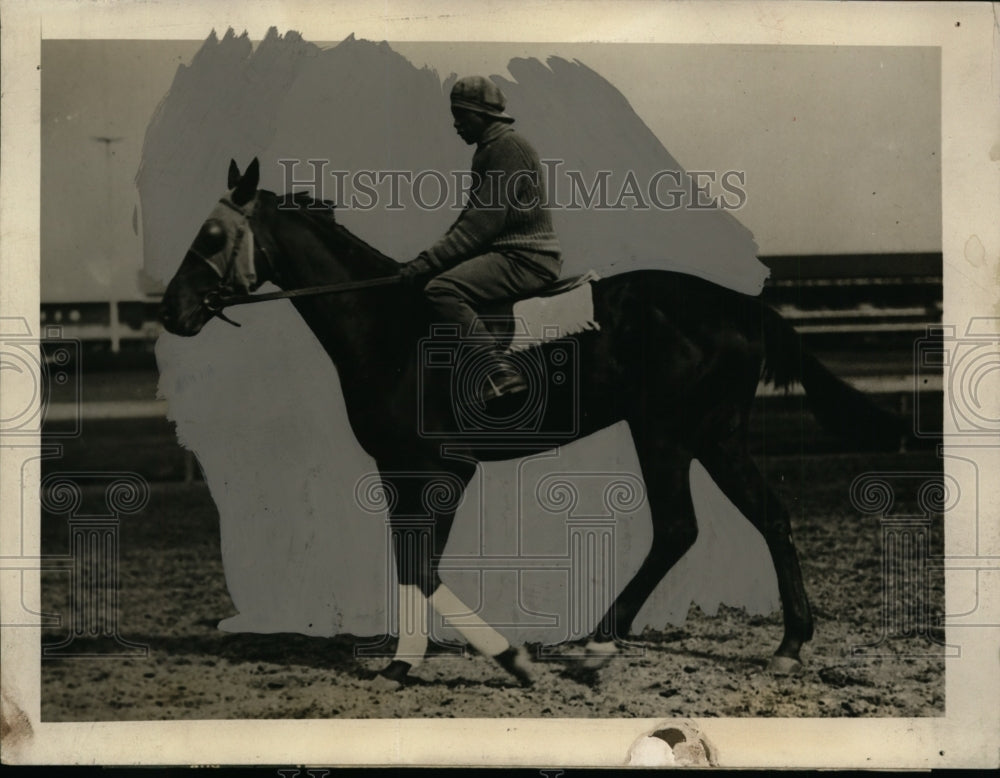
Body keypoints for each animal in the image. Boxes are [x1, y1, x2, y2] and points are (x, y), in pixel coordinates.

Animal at [160, 158, 904, 684]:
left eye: (213, 234)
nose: (170, 309)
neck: (388, 326)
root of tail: (744, 306)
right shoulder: (405, 470)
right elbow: (410, 560)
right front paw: (406, 659)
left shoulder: (439, 469)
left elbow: (424, 565)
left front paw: (494, 659)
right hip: (714, 435)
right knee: (766, 516)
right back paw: (786, 645)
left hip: (667, 432)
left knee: (678, 528)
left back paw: (600, 642)